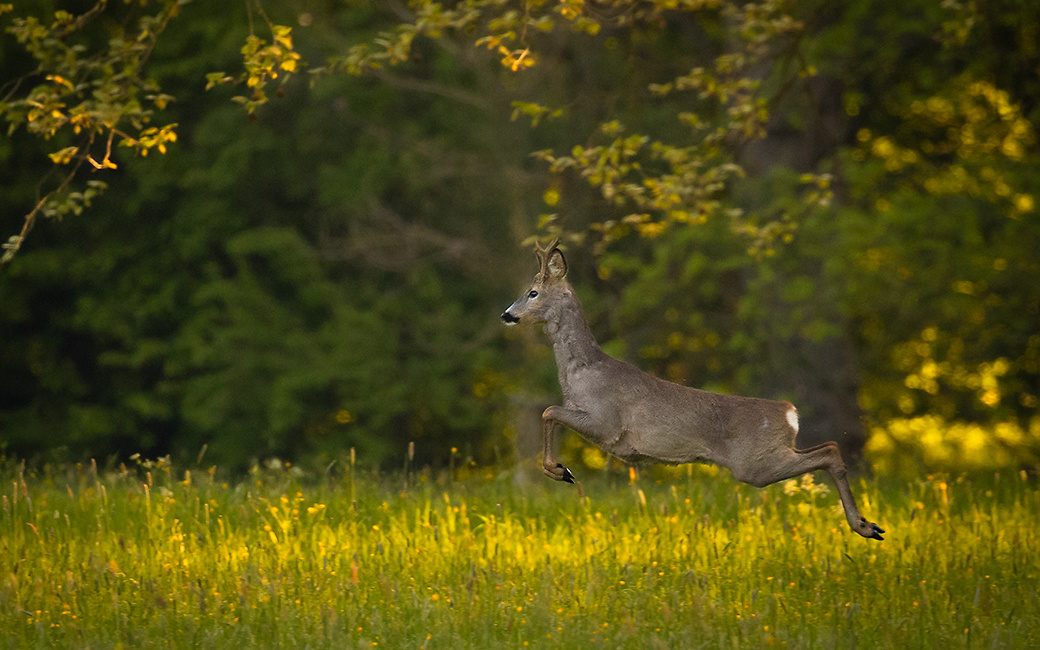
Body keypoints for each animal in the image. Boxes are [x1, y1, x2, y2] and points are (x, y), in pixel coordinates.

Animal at [501, 239, 885, 541]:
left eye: (533, 292)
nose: (507, 314)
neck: (581, 372)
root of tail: (789, 412)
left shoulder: (606, 422)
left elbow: (548, 411)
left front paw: (560, 470)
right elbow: (550, 411)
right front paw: (558, 470)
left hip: (754, 464)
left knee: (829, 451)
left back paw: (866, 526)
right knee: (829, 447)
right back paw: (868, 525)